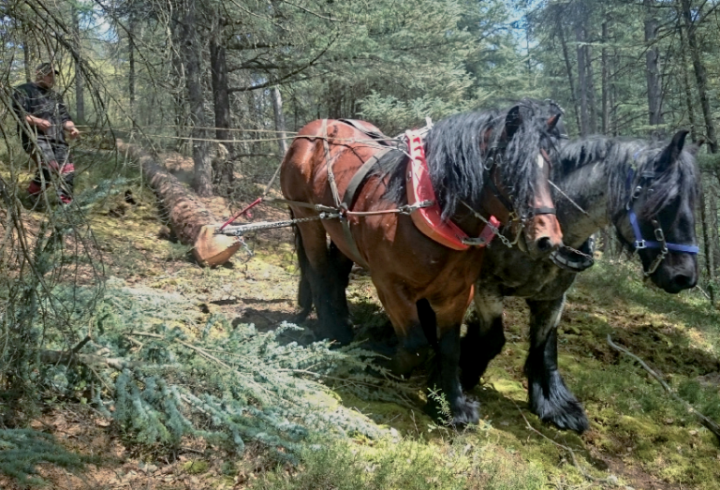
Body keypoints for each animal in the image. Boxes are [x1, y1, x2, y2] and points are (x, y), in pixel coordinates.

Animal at [282, 100, 568, 424]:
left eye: (551, 169)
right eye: (511, 170)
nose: (548, 240)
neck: (426, 213)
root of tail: (314, 128)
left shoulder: (457, 295)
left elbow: (450, 349)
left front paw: (453, 406)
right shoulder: (391, 287)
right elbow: (416, 345)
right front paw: (378, 359)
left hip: (341, 230)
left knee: (336, 274)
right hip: (308, 219)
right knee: (319, 273)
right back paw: (334, 332)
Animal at [458, 130, 700, 432]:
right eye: (668, 203)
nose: (686, 277)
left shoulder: (552, 299)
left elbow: (544, 348)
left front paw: (554, 405)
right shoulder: (487, 286)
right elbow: (492, 339)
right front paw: (463, 371)